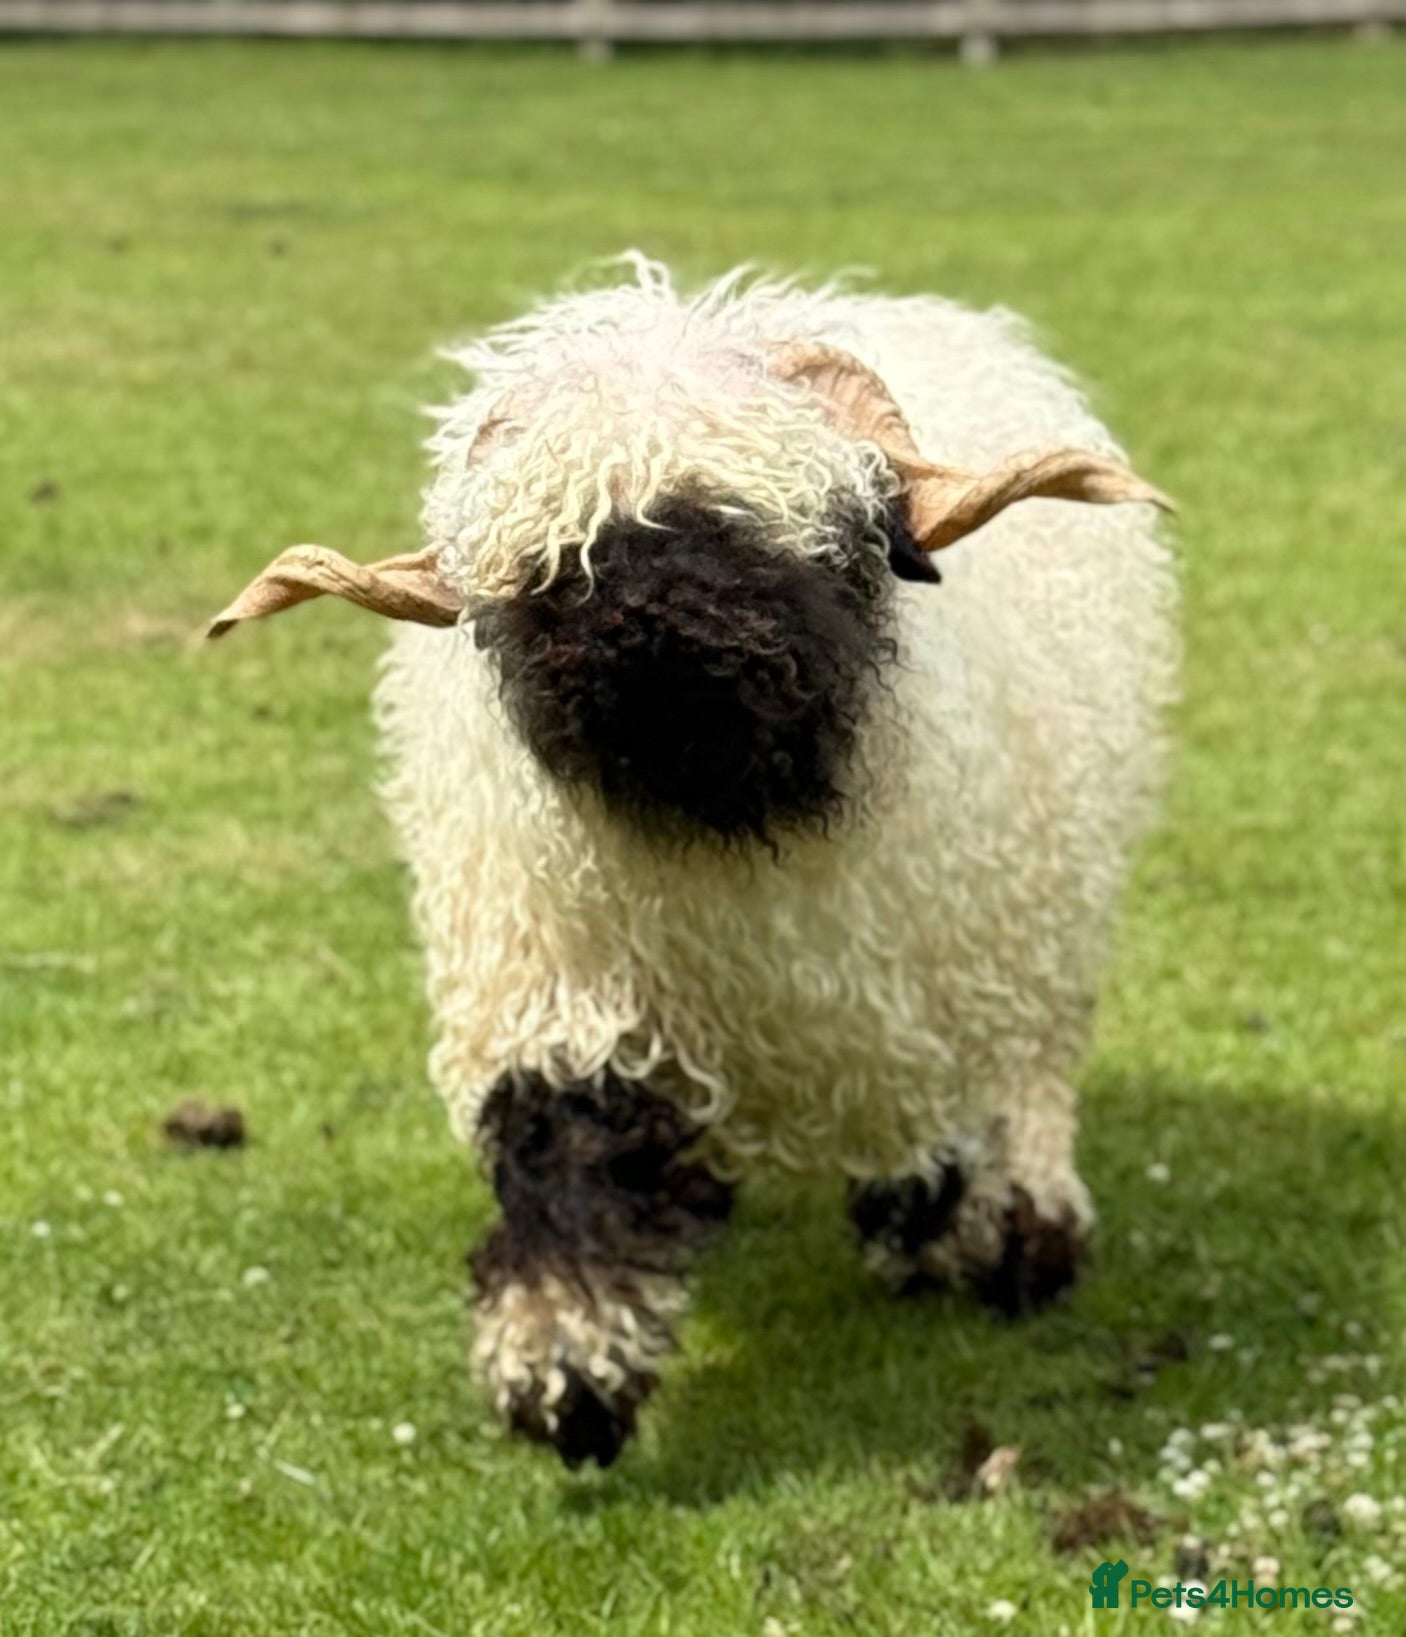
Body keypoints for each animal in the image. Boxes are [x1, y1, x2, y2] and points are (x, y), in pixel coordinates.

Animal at [209, 254, 1178, 1469]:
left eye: (818, 534)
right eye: (553, 570)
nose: (658, 671)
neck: (725, 835)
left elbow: (960, 1124)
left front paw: (956, 1230)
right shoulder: (558, 983)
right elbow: (566, 1140)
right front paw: (565, 1373)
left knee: (1032, 1069)